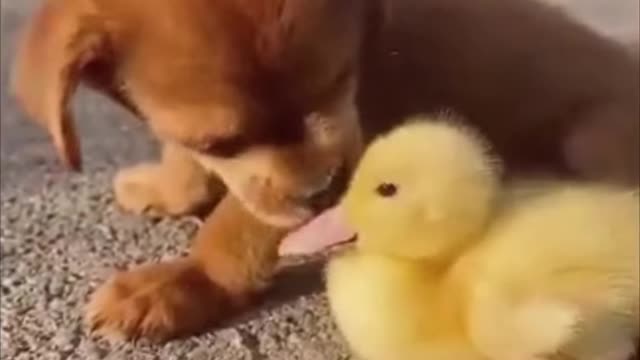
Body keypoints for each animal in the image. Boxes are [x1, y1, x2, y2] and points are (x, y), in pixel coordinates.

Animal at [12, 0, 636, 340]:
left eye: (339, 79)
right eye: (221, 140)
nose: (324, 189)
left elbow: (236, 228)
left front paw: (187, 281)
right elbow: (186, 160)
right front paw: (167, 189)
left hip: (589, 141)